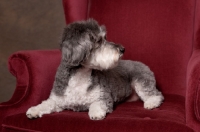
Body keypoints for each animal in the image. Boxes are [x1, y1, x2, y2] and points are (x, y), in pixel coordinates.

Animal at [26, 18, 164, 120]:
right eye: (98, 41)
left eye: (105, 38)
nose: (122, 49)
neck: (80, 77)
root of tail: (143, 64)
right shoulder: (57, 99)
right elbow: (46, 103)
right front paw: (34, 110)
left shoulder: (104, 97)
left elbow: (97, 104)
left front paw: (96, 112)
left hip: (142, 82)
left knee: (157, 95)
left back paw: (151, 103)